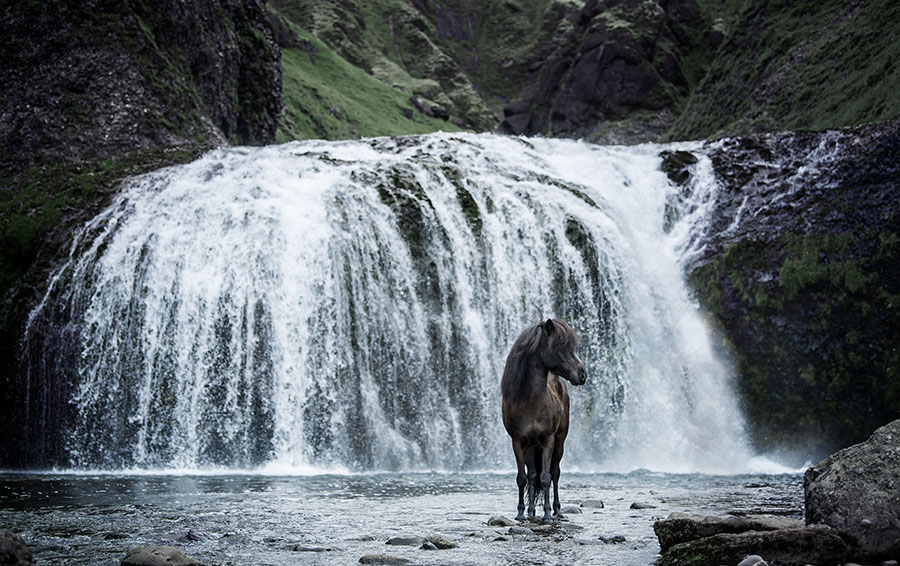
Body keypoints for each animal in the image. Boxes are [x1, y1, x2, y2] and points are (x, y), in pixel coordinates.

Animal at [500, 318, 584, 524]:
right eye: (561, 347)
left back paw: (557, 509)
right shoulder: (518, 442)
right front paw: (520, 512)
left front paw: (546, 514)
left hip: (560, 441)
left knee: (555, 473)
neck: (531, 400)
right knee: (532, 475)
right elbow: (523, 478)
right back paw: (531, 511)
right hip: (531, 447)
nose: (582, 374)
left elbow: (546, 477)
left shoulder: (548, 440)